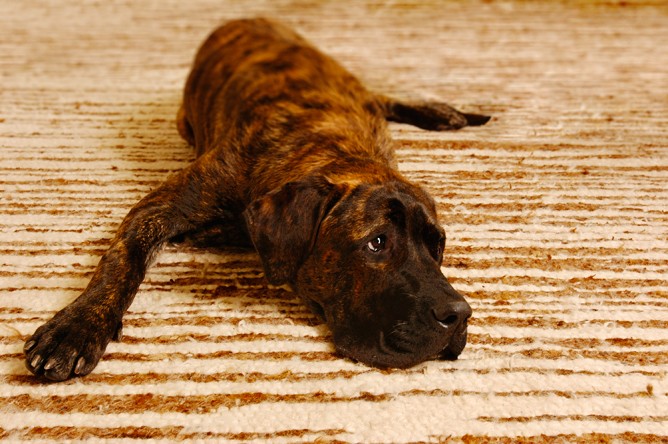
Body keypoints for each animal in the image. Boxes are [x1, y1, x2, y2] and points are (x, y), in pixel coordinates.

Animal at [24, 15, 490, 380]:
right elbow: (121, 262)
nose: (460, 314)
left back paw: (443, 112)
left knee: (381, 98)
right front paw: (77, 328)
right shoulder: (161, 207)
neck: (326, 145)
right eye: (377, 242)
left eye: (437, 245)